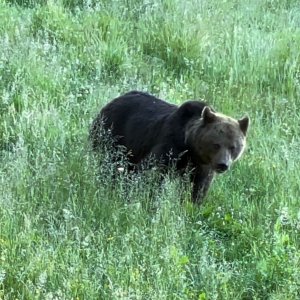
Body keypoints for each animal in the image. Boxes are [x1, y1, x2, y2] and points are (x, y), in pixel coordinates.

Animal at [90, 91, 250, 204]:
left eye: (233, 147)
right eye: (216, 144)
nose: (223, 164)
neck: (190, 147)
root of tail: (114, 100)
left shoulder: (202, 167)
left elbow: (198, 188)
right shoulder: (170, 147)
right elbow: (151, 173)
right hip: (112, 134)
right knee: (108, 164)